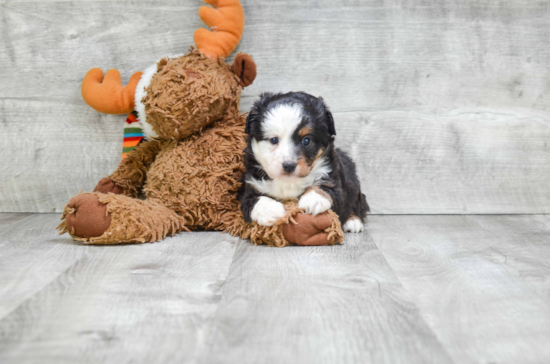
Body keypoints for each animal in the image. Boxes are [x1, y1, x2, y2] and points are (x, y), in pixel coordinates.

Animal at [238, 91, 370, 233]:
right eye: (274, 140)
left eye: (306, 140)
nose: (289, 165)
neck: (289, 182)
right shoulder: (250, 185)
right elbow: (254, 200)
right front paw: (270, 210)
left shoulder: (334, 181)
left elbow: (325, 188)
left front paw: (313, 199)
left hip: (353, 182)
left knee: (358, 202)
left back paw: (353, 221)